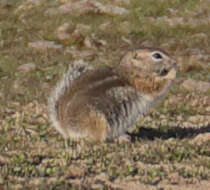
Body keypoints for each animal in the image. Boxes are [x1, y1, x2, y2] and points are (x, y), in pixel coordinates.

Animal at [48, 48, 177, 142]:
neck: (129, 71)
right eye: (157, 56)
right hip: (98, 121)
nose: (173, 61)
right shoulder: (143, 82)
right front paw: (173, 72)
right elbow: (158, 87)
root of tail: (64, 127)